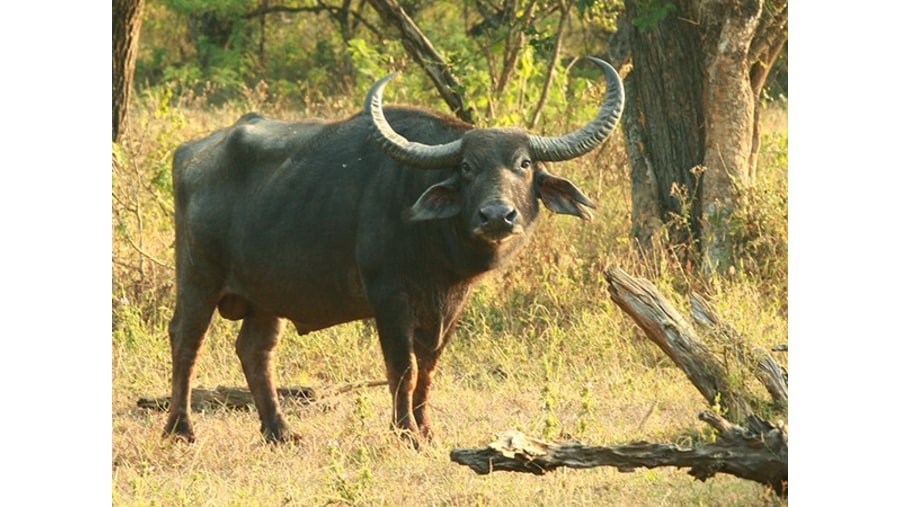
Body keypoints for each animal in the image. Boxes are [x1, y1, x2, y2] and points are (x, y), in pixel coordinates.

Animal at [165, 56, 624, 444]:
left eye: (524, 164)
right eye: (467, 167)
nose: (497, 216)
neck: (436, 246)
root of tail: (189, 153)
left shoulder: (450, 304)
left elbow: (429, 367)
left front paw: (426, 429)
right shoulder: (388, 296)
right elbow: (402, 367)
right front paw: (404, 432)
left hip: (267, 295)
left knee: (255, 350)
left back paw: (279, 432)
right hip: (198, 278)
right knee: (186, 339)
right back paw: (180, 428)